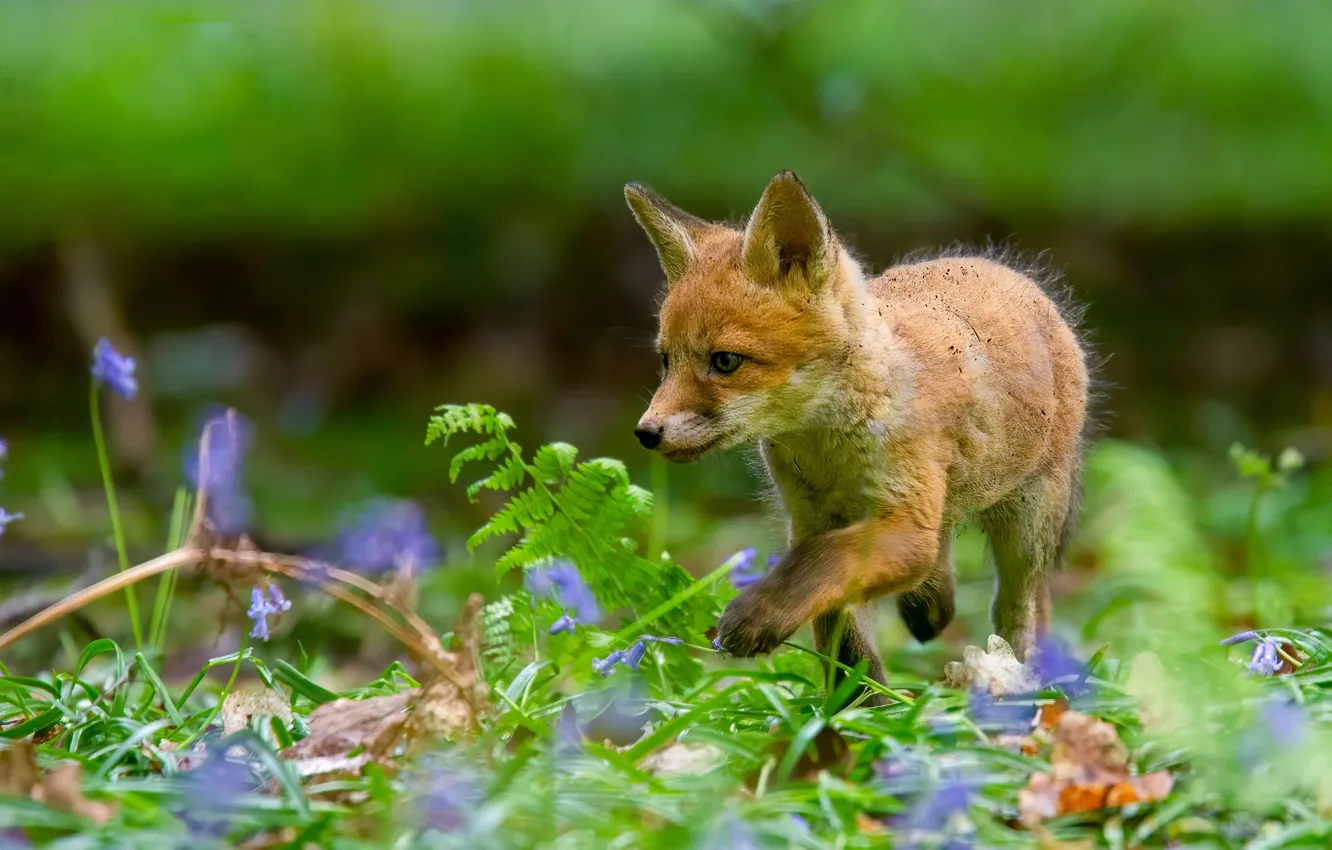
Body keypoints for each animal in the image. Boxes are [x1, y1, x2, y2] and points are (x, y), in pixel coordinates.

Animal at [625, 171, 1090, 699]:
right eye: (666, 361)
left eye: (725, 361)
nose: (646, 433)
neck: (830, 450)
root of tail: (1001, 268)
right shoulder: (815, 518)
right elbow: (843, 634)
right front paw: (861, 707)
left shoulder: (899, 525)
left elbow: (819, 565)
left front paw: (759, 619)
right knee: (943, 563)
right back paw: (931, 607)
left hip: (1027, 525)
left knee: (1021, 606)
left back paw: (1031, 682)